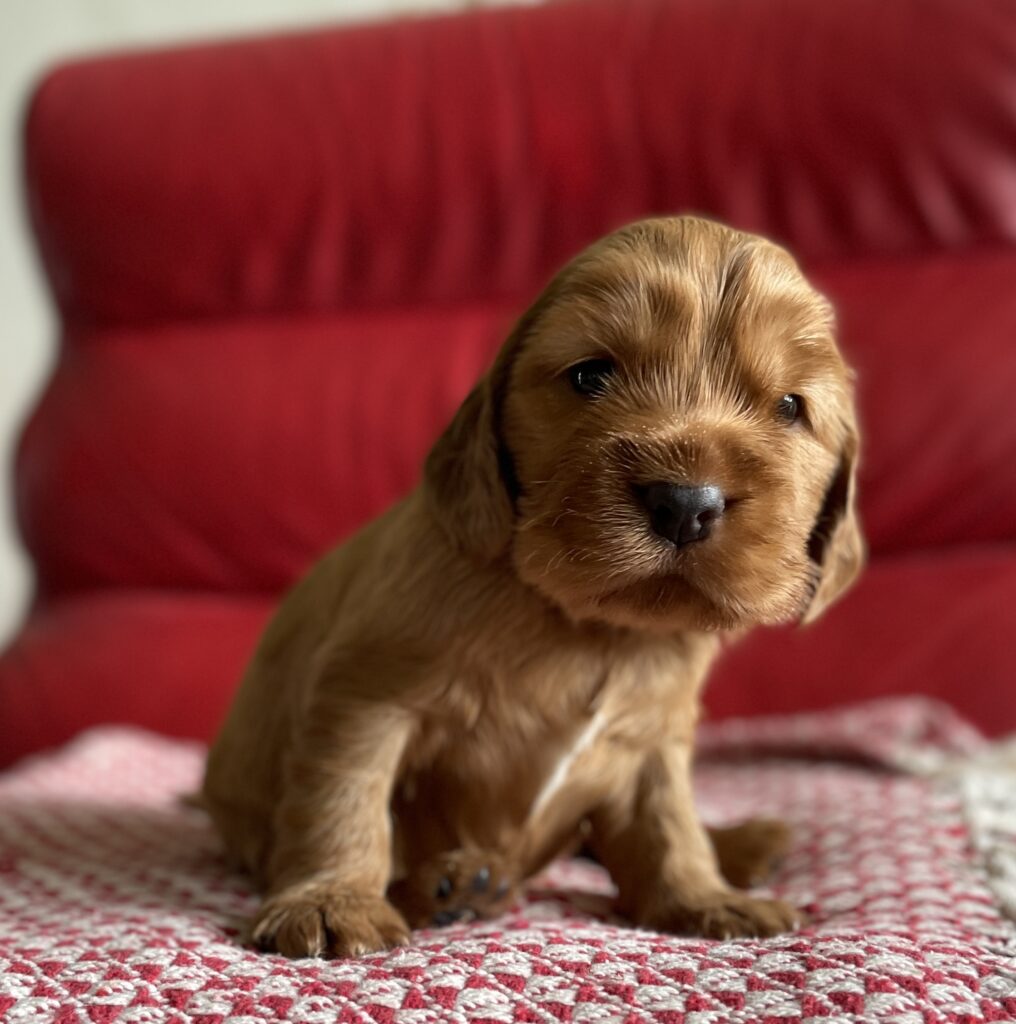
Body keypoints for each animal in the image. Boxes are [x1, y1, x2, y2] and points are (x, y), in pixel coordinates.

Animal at [204, 216, 864, 958]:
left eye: (789, 407)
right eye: (590, 374)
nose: (685, 503)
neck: (591, 625)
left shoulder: (654, 737)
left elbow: (667, 822)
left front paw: (701, 896)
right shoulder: (364, 692)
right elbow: (345, 798)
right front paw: (329, 900)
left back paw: (742, 846)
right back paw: (456, 884)